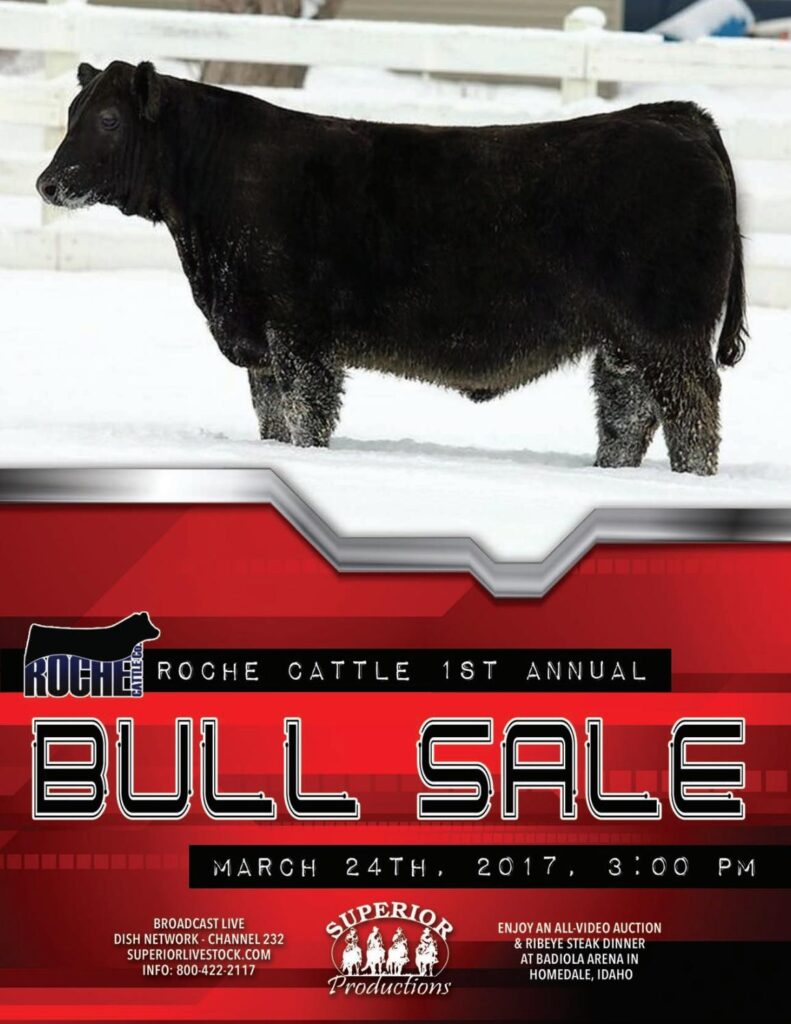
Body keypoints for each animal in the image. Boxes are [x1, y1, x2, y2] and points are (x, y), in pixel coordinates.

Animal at [36, 61, 748, 475]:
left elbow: (305, 416)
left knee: (693, 414)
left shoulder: (299, 339)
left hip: (671, 336)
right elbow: (272, 418)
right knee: (627, 414)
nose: (47, 183)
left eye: (108, 119)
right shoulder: (260, 343)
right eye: (72, 113)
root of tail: (675, 115)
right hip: (625, 345)